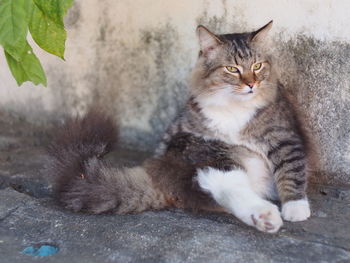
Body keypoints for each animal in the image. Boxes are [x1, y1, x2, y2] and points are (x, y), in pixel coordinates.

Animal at [47, 21, 312, 235]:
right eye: (232, 69)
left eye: (257, 66)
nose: (251, 85)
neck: (234, 108)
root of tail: (159, 176)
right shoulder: (193, 130)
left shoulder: (285, 138)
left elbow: (291, 171)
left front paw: (295, 208)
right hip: (209, 154)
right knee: (228, 188)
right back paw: (265, 216)